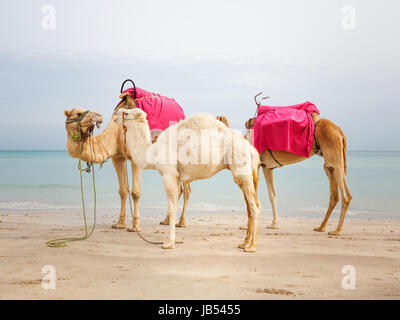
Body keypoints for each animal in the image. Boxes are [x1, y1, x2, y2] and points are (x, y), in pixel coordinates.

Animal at [63, 97, 191, 230]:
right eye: (78, 113)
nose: (98, 116)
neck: (116, 131)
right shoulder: (118, 157)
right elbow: (123, 191)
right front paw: (120, 224)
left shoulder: (135, 157)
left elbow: (135, 192)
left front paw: (135, 226)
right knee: (177, 189)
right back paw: (166, 221)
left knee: (186, 190)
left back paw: (181, 222)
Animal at [114, 109, 260, 251]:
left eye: (126, 112)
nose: (115, 113)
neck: (153, 152)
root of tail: (251, 149)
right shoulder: (177, 176)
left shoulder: (169, 174)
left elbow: (172, 207)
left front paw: (169, 243)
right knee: (250, 205)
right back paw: (244, 244)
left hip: (241, 168)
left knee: (254, 207)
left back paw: (252, 246)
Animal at [217, 95, 352, 235]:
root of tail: (339, 130)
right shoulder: (267, 167)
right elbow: (272, 194)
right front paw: (274, 224)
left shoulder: (257, 164)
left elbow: (252, 194)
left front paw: (246, 226)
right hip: (329, 160)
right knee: (334, 189)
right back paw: (321, 227)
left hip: (333, 150)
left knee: (345, 192)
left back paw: (336, 230)